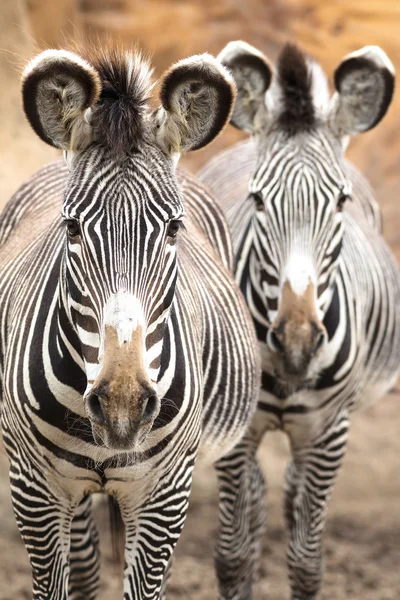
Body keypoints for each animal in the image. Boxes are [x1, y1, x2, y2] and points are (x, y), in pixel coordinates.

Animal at [200, 39, 400, 596]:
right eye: (257, 199)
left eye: (341, 202)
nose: (296, 343)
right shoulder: (237, 433)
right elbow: (231, 555)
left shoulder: (330, 433)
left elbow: (307, 561)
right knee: (254, 500)